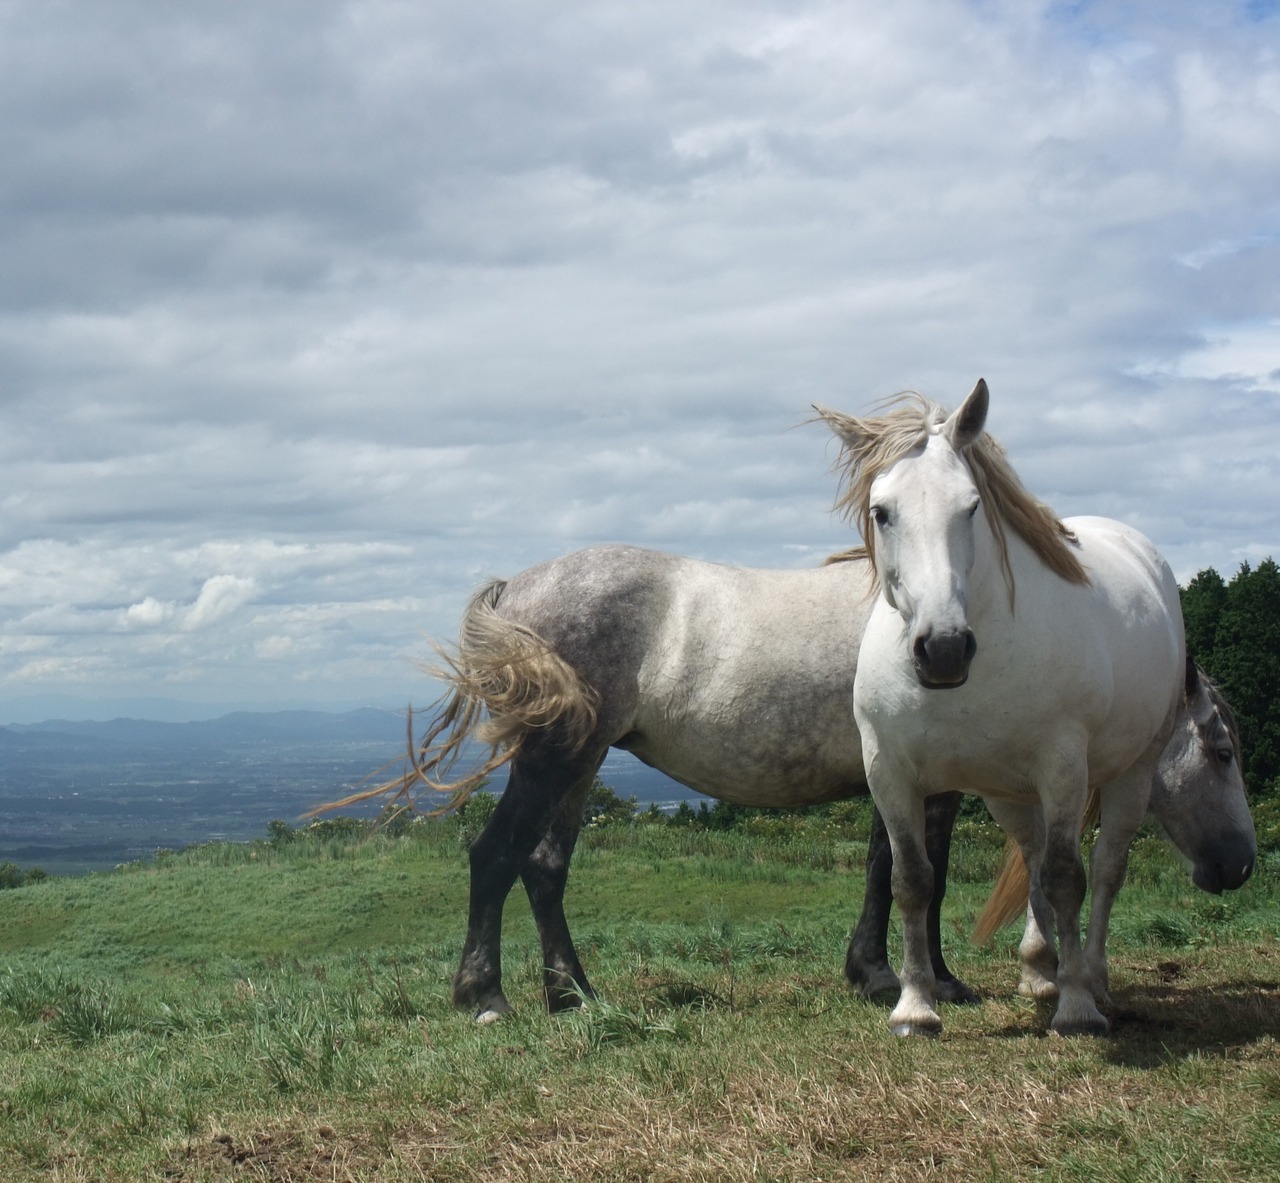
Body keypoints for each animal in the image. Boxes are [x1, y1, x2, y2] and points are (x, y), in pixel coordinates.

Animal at [814, 378, 1254, 1034]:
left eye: (971, 506)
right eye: (881, 511)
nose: (944, 649)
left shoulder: (1063, 766)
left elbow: (1070, 878)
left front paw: (1076, 1008)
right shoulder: (889, 771)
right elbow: (912, 881)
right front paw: (916, 1006)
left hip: (1128, 773)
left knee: (1105, 867)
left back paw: (1089, 977)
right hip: (1008, 794)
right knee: (1034, 860)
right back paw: (1042, 969)